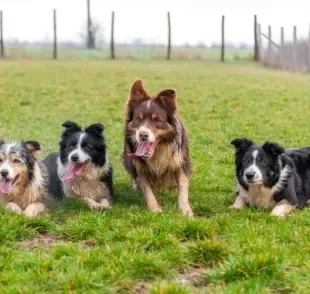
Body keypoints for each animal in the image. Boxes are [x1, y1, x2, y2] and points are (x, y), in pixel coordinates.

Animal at [122, 78, 193, 216]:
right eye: (138, 119)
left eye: (157, 120)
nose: (143, 135)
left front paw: (186, 211)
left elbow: (183, 188)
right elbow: (147, 189)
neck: (158, 149)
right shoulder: (139, 165)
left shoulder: (181, 161)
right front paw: (155, 209)